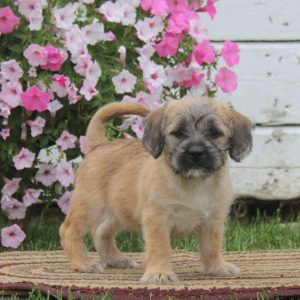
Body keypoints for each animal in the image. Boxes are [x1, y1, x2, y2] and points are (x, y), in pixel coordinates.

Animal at [59, 96, 253, 284]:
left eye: (215, 133)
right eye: (178, 133)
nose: (196, 152)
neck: (194, 183)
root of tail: (99, 145)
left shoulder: (213, 221)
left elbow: (212, 247)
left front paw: (217, 267)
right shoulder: (157, 218)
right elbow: (161, 248)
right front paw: (159, 273)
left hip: (118, 212)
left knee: (101, 232)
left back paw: (115, 259)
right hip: (89, 206)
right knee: (68, 230)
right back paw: (83, 263)